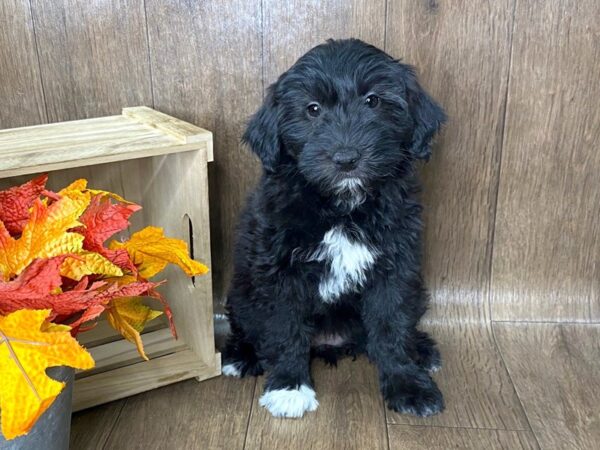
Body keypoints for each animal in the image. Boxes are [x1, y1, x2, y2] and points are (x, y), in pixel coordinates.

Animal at [224, 37, 446, 418]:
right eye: (312, 109)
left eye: (373, 101)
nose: (346, 159)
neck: (342, 206)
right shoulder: (279, 271)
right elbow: (285, 325)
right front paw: (289, 386)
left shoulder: (395, 266)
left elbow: (391, 324)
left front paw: (407, 383)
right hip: (241, 290)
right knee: (249, 325)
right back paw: (241, 355)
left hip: (416, 288)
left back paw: (421, 349)